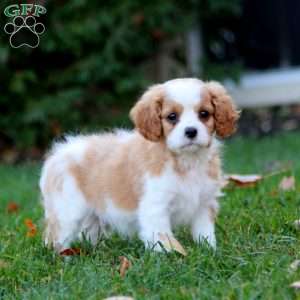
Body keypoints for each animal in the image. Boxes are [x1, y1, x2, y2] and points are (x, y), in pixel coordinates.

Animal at [39, 78, 239, 252]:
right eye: (172, 117)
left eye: (204, 114)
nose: (191, 131)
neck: (186, 161)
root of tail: (57, 153)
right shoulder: (155, 207)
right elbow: (162, 238)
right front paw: (172, 258)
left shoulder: (204, 204)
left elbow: (204, 233)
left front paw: (209, 251)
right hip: (67, 212)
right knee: (55, 238)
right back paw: (63, 257)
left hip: (92, 215)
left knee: (89, 233)